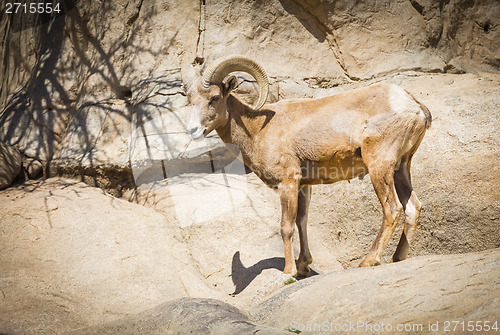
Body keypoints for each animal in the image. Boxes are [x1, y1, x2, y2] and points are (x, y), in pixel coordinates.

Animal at [182, 56, 432, 278]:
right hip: (401, 168)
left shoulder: (288, 183)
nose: (193, 130)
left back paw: (369, 261)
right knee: (412, 207)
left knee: (392, 209)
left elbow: (286, 226)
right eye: (191, 101)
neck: (258, 130)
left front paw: (289, 272)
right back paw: (396, 259)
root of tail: (415, 108)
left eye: (214, 98)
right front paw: (304, 267)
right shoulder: (304, 186)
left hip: (379, 167)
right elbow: (301, 221)